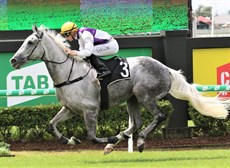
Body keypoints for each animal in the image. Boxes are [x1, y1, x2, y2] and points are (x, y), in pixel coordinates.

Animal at [9, 25, 228, 154]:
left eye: (30, 42)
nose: (13, 60)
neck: (68, 73)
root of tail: (166, 69)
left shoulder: (90, 110)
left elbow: (91, 137)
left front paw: (107, 137)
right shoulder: (70, 109)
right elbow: (51, 124)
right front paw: (68, 140)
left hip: (145, 96)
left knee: (160, 116)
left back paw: (138, 141)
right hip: (132, 99)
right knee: (136, 122)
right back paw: (116, 143)